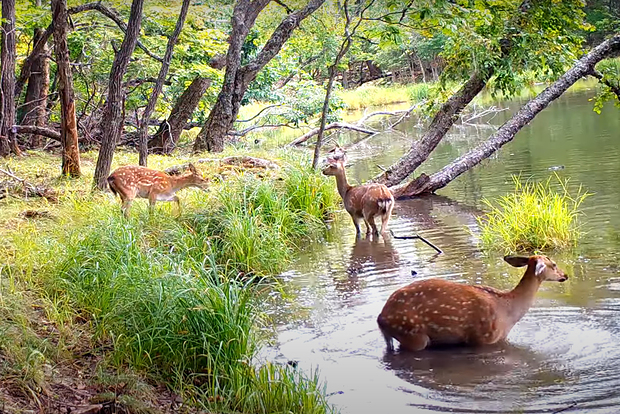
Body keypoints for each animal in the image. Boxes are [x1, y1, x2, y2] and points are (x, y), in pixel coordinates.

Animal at [376, 256, 568, 352]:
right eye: (554, 264)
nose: (565, 275)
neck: (508, 312)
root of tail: (381, 317)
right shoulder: (481, 339)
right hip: (412, 334)